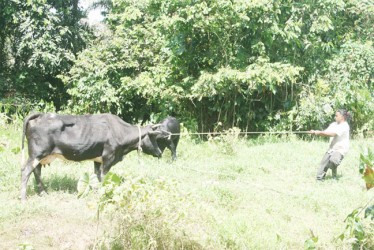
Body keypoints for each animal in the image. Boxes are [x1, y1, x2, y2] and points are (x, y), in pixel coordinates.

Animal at [21, 112, 162, 200]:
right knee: (26, 171)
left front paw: (96, 191)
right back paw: (23, 197)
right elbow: (104, 177)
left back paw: (43, 193)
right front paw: (104, 194)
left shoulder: (98, 159)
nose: (160, 153)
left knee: (36, 172)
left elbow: (97, 176)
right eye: (154, 138)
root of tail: (41, 115)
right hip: (36, 154)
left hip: (39, 156)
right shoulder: (109, 156)